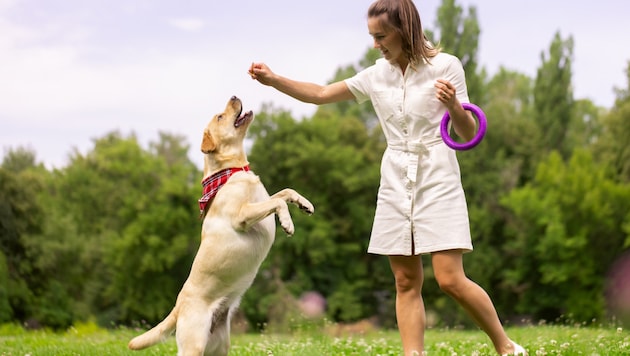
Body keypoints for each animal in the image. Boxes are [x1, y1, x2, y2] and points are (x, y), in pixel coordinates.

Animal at [129, 96, 316, 354]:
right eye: (220, 117)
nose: (235, 96)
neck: (233, 169)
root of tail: (178, 306)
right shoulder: (241, 216)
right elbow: (278, 202)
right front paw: (287, 223)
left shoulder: (260, 201)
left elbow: (285, 192)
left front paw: (305, 203)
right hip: (193, 345)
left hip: (220, 345)